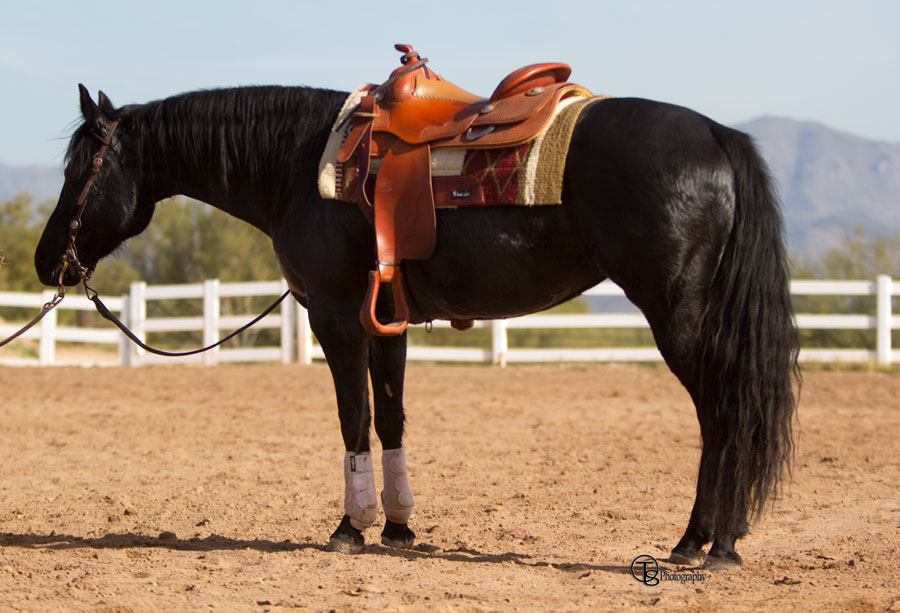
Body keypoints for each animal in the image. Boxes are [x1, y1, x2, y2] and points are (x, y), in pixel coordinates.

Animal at [34, 79, 800, 570]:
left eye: (81, 167)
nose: (47, 261)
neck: (299, 162)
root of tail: (715, 133)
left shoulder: (337, 315)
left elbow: (354, 417)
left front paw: (351, 527)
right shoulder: (387, 323)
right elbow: (392, 416)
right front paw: (400, 526)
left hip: (680, 317)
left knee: (726, 415)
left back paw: (706, 543)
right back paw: (711, 540)